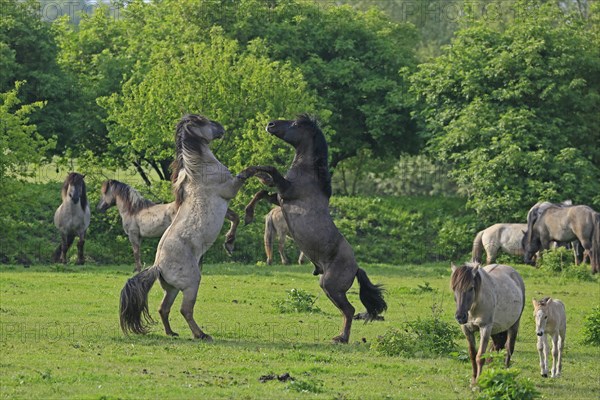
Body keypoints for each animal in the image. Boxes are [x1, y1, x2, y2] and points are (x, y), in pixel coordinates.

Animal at [97, 180, 240, 272]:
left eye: (104, 192)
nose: (99, 208)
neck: (134, 210)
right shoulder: (139, 237)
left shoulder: (133, 235)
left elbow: (136, 253)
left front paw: (137, 270)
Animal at [119, 113, 255, 340]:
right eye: (205, 122)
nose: (221, 127)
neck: (200, 170)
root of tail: (158, 266)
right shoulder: (229, 189)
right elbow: (247, 172)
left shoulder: (224, 203)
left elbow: (235, 218)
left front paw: (229, 242)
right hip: (192, 284)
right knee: (185, 310)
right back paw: (201, 334)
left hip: (172, 289)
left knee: (163, 308)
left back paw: (171, 332)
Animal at [245, 113, 390, 344]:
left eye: (295, 124)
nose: (270, 124)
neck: (308, 174)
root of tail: (356, 267)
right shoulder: (280, 198)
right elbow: (261, 192)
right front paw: (248, 214)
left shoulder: (287, 191)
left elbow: (270, 170)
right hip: (328, 286)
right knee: (346, 311)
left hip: (331, 286)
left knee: (349, 310)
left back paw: (341, 338)